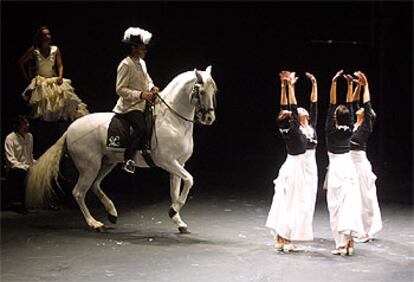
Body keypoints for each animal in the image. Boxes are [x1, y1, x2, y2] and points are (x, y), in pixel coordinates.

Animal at [26, 66, 217, 234]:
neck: (172, 120)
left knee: (95, 186)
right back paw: (95, 223)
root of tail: (69, 129)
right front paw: (173, 210)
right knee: (79, 192)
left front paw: (178, 220)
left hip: (106, 163)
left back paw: (112, 213)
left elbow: (175, 191)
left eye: (213, 91)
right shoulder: (167, 162)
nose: (209, 118)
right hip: (89, 167)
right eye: (200, 91)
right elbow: (190, 180)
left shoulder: (178, 164)